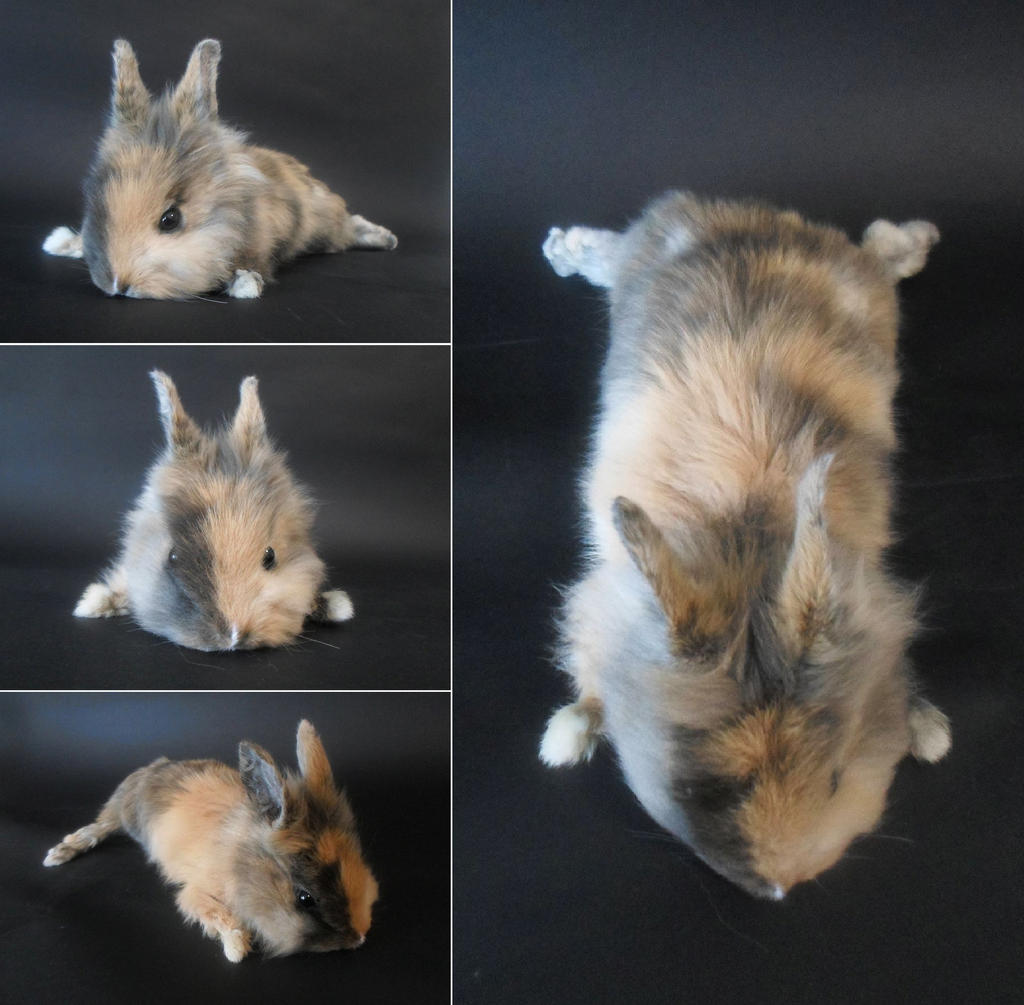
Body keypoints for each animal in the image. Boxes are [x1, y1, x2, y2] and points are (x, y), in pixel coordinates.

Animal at [42, 38, 397, 299]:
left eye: (171, 220)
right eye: (96, 205)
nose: (118, 284)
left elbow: (253, 262)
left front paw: (245, 284)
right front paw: (62, 242)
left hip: (327, 224)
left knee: (348, 228)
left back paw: (385, 238)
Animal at [44, 720, 378, 961]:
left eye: (358, 862)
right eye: (305, 898)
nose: (358, 938)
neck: (241, 859)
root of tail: (152, 766)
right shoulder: (196, 893)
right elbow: (219, 916)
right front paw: (236, 950)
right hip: (120, 813)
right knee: (100, 826)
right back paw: (59, 853)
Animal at [538, 192, 952, 899]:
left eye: (836, 778)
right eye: (699, 792)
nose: (782, 886)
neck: (747, 544)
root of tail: (746, 213)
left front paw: (926, 729)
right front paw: (569, 732)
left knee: (876, 250)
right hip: (641, 254)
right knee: (611, 253)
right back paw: (564, 249)